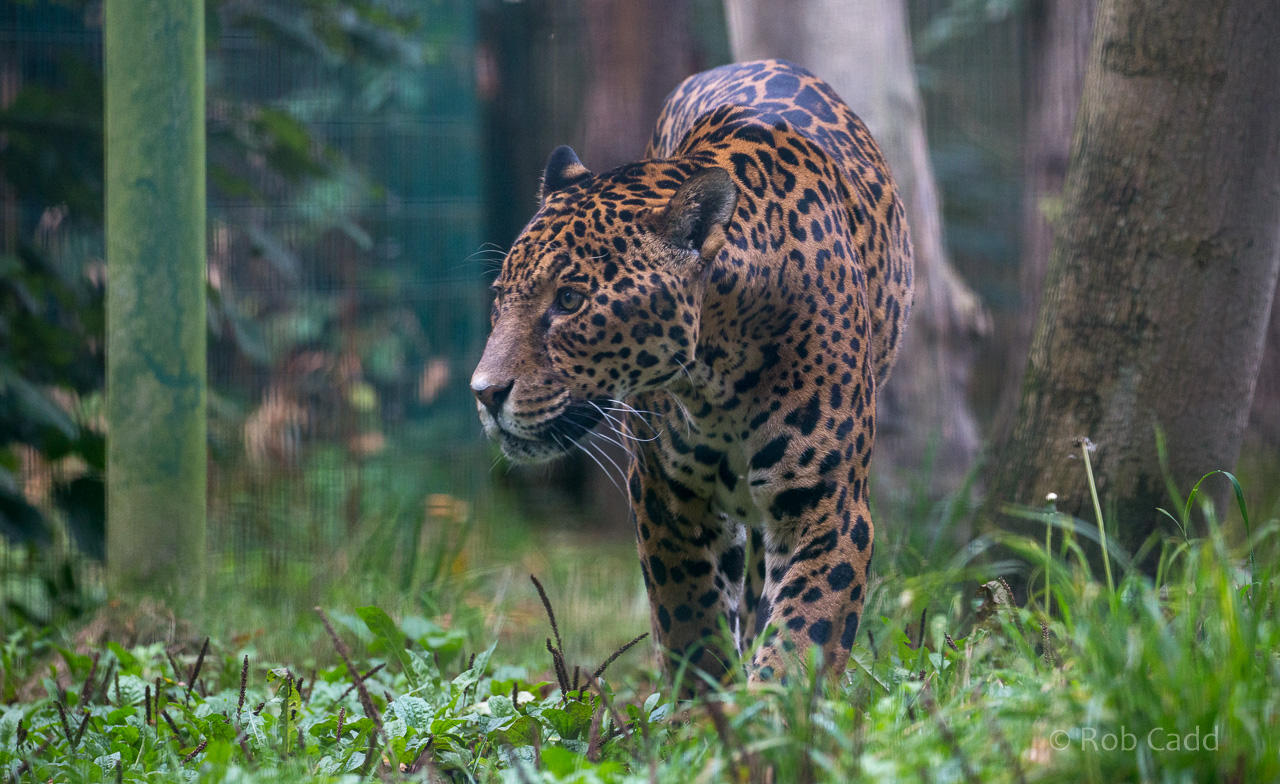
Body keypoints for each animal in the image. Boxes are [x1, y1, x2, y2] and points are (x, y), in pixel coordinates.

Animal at [471, 59, 913, 684]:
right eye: (499, 298)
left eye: (571, 300)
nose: (484, 393)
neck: (719, 375)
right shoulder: (663, 497)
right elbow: (689, 623)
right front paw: (706, 703)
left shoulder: (827, 506)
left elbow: (802, 639)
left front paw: (773, 706)